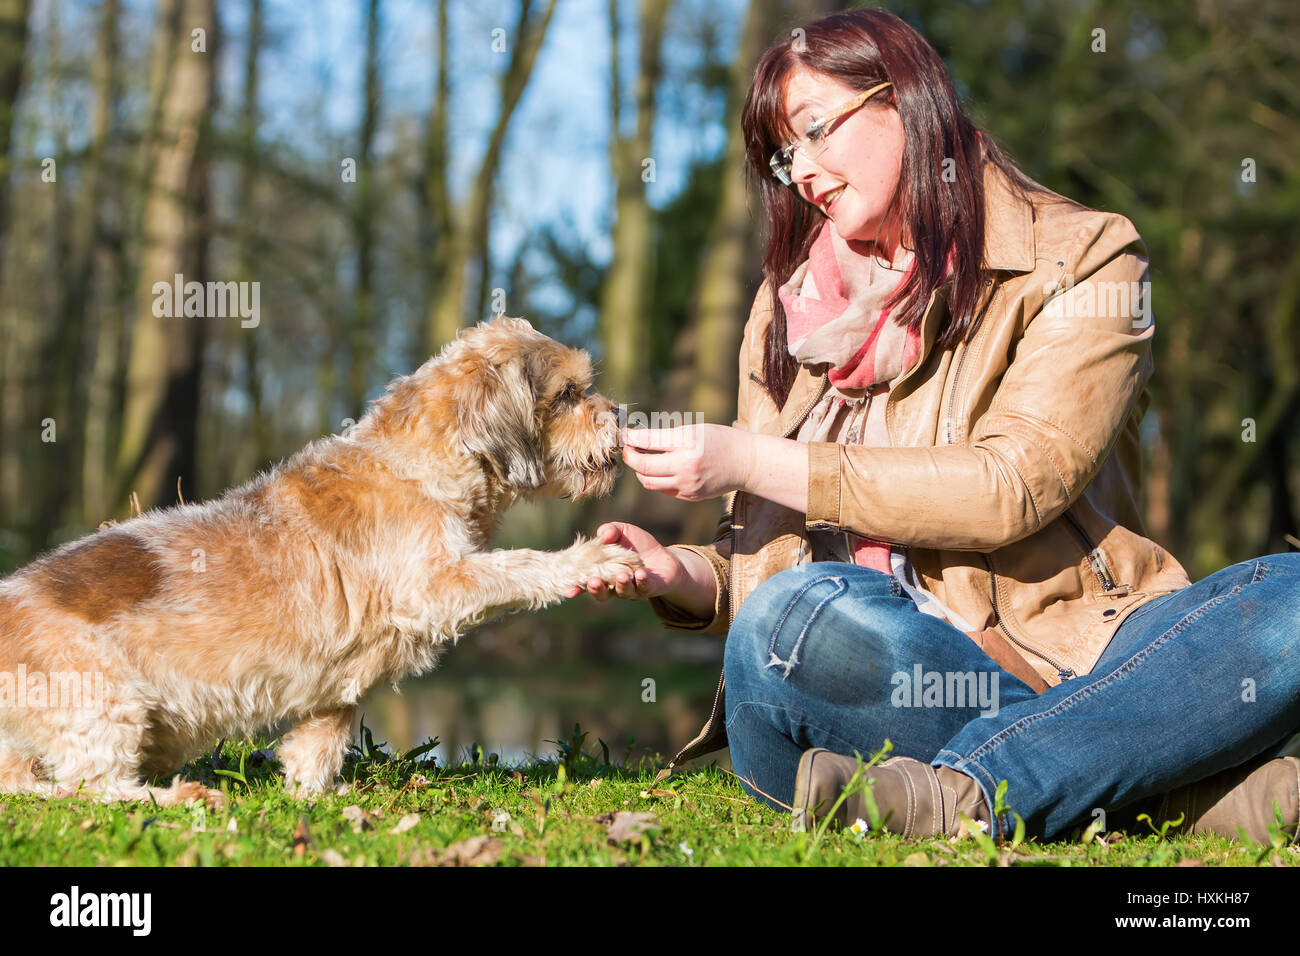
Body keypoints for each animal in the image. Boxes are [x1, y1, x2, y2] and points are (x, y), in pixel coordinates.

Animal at [0, 317, 642, 806]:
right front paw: (591, 560)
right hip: (106, 708)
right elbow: (520, 565)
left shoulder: (339, 684)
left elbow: (320, 742)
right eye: (569, 394)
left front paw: (313, 794)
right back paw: (183, 796)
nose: (621, 413)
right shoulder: (437, 584)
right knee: (91, 789)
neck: (421, 465)